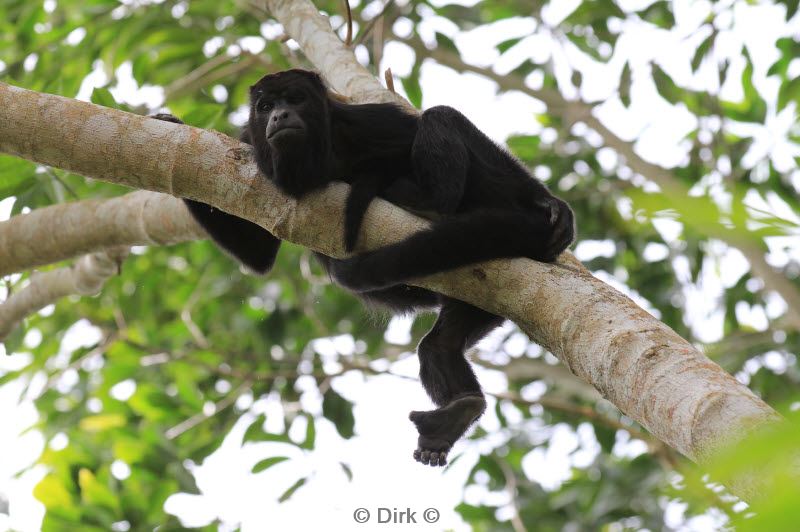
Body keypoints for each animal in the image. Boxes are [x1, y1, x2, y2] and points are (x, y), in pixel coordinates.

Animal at [152, 68, 576, 468]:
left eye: (294, 99)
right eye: (265, 107)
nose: (280, 116)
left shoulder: (367, 120)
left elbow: (415, 126)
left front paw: (554, 206)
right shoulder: (250, 145)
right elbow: (259, 255)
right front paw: (171, 124)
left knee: (441, 117)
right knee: (438, 347)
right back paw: (458, 411)